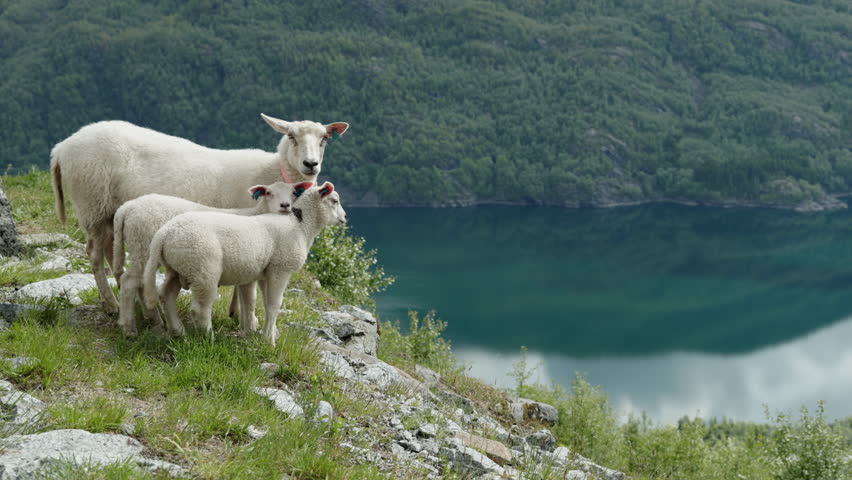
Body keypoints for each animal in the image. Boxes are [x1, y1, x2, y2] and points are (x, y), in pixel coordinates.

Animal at [50, 114, 349, 314]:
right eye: (291, 136)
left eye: (324, 139)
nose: (311, 164)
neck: (272, 170)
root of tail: (62, 147)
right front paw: (239, 314)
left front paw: (235, 313)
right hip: (92, 205)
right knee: (94, 255)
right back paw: (111, 304)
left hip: (111, 214)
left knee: (114, 257)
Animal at [112, 181, 302, 337]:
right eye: (269, 193)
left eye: (293, 193)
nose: (285, 206)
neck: (256, 215)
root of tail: (127, 207)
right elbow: (250, 297)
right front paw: (251, 325)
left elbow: (243, 295)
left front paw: (245, 322)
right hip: (142, 246)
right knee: (129, 282)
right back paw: (129, 327)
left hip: (140, 250)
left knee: (140, 284)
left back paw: (154, 320)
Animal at [142, 182, 345, 344]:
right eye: (335, 200)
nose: (344, 218)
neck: (300, 225)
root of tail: (165, 233)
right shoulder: (281, 269)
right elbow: (274, 304)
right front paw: (269, 341)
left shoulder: (265, 272)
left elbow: (260, 302)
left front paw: (260, 333)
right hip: (204, 268)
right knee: (200, 308)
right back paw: (209, 339)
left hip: (178, 267)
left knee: (166, 295)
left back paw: (178, 331)